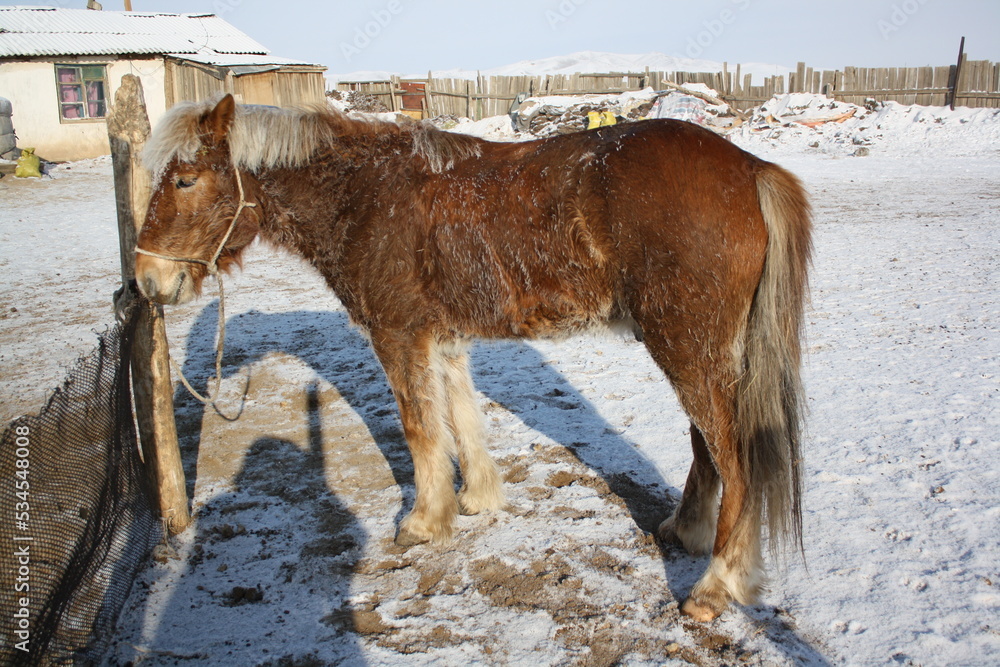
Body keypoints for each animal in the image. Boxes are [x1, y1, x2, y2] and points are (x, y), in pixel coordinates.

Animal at [135, 94, 811, 621]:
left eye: (185, 180)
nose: (147, 280)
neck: (362, 194)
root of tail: (751, 168)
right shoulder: (442, 338)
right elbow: (459, 418)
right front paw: (477, 499)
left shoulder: (399, 335)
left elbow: (419, 429)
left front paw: (423, 521)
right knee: (707, 446)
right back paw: (684, 533)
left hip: (689, 350)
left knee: (737, 461)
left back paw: (713, 588)